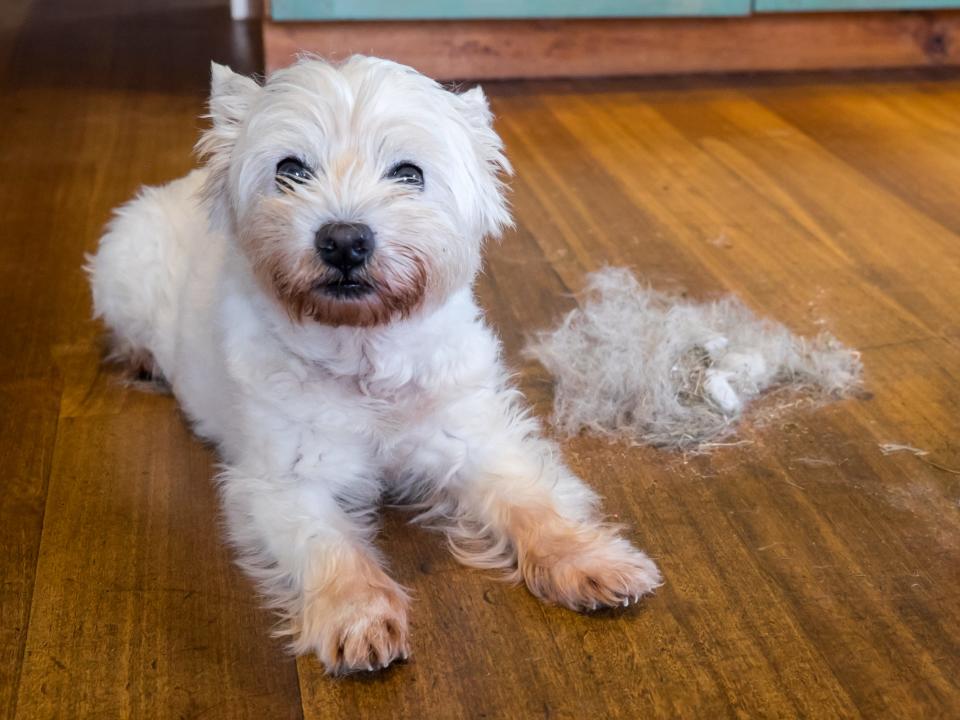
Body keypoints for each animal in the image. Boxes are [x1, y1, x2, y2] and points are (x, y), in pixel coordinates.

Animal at [86, 56, 660, 676]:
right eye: (290, 169)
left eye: (409, 174)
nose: (344, 240)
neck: (365, 356)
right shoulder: (284, 481)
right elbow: (331, 547)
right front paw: (357, 618)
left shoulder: (472, 440)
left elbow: (531, 502)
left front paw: (590, 560)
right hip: (120, 273)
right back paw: (143, 360)